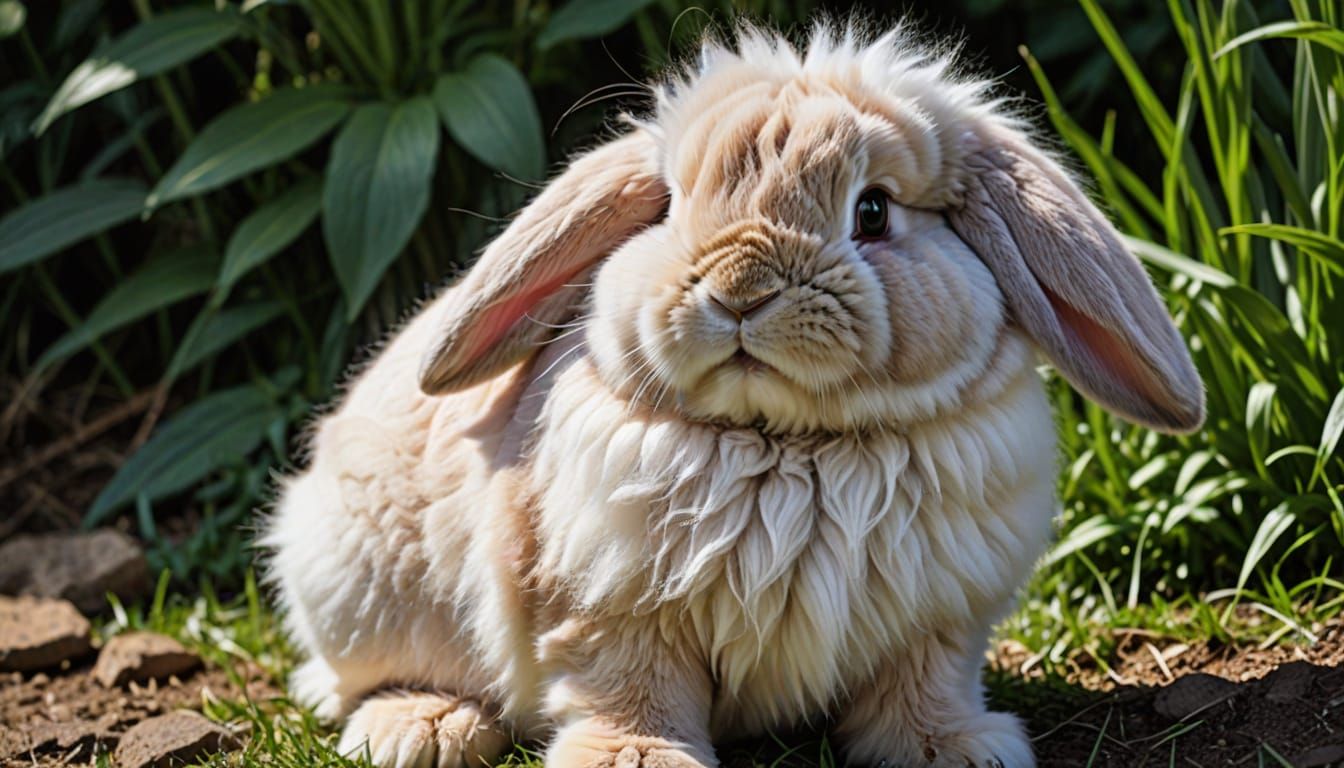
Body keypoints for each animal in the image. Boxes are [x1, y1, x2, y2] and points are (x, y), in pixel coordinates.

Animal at [264, 22, 1204, 768]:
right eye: (673, 206)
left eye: (873, 212)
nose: (739, 290)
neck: (793, 447)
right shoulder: (604, 610)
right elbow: (628, 688)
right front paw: (636, 762)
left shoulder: (938, 623)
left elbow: (923, 691)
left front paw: (961, 750)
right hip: (365, 596)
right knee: (352, 680)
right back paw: (421, 730)